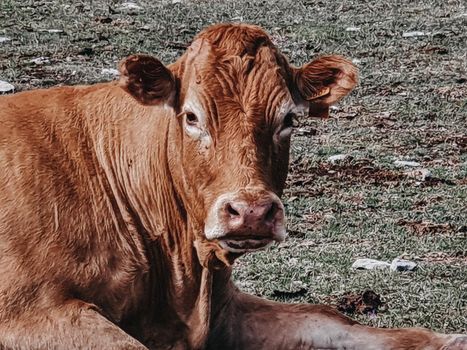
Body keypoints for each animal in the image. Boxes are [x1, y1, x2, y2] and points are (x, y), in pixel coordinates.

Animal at [0, 23, 467, 348]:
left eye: (288, 118)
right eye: (191, 117)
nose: (252, 212)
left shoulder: (225, 308)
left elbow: (330, 318)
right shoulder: (28, 312)